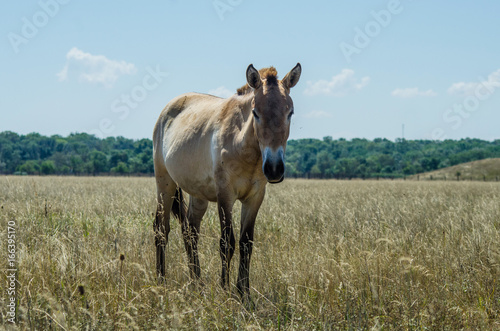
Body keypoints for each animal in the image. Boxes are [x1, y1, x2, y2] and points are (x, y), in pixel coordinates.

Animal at [151, 63, 300, 300]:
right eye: (256, 113)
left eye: (290, 113)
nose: (274, 169)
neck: (243, 145)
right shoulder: (225, 196)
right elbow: (227, 243)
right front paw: (225, 289)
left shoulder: (254, 198)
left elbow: (246, 243)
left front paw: (244, 293)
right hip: (164, 184)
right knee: (161, 230)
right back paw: (161, 280)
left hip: (198, 195)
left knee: (190, 232)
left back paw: (197, 283)